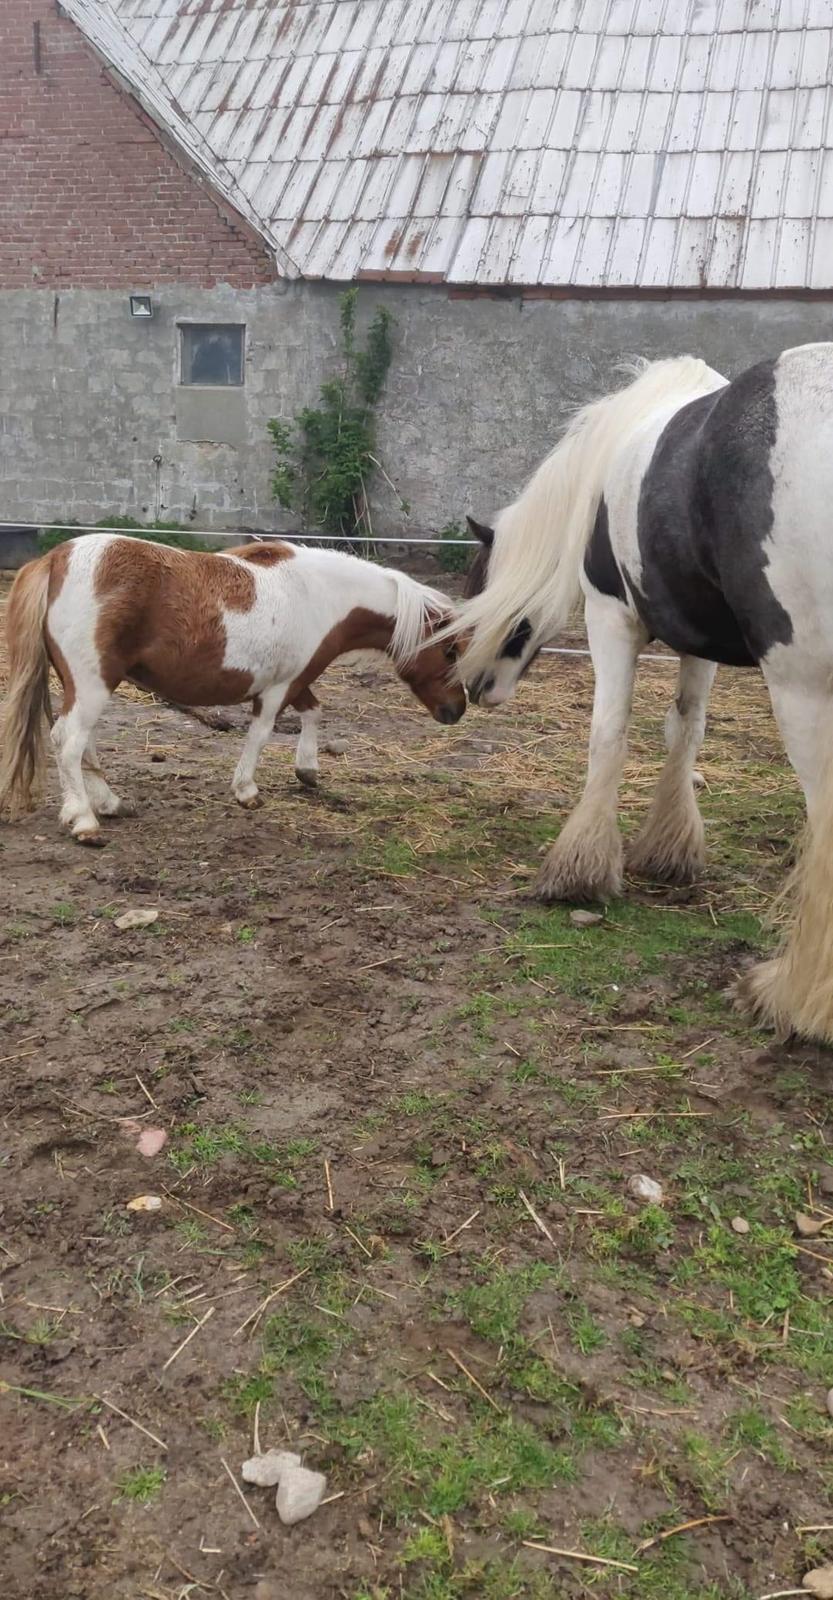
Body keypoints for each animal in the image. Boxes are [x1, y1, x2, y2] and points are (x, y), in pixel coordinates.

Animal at [0, 531, 463, 844]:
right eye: (451, 651)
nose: (456, 710)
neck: (318, 595)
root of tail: (56, 559)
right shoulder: (278, 689)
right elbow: (260, 736)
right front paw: (247, 791)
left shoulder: (295, 680)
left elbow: (313, 712)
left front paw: (308, 770)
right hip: (92, 683)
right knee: (70, 742)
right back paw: (84, 820)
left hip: (89, 686)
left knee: (85, 743)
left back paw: (110, 804)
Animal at [457, 344, 831, 1043]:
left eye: (479, 585)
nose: (474, 686)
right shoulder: (696, 637)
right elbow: (684, 730)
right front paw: (668, 852)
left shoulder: (611, 616)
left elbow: (610, 731)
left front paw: (577, 872)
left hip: (802, 690)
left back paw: (794, 996)